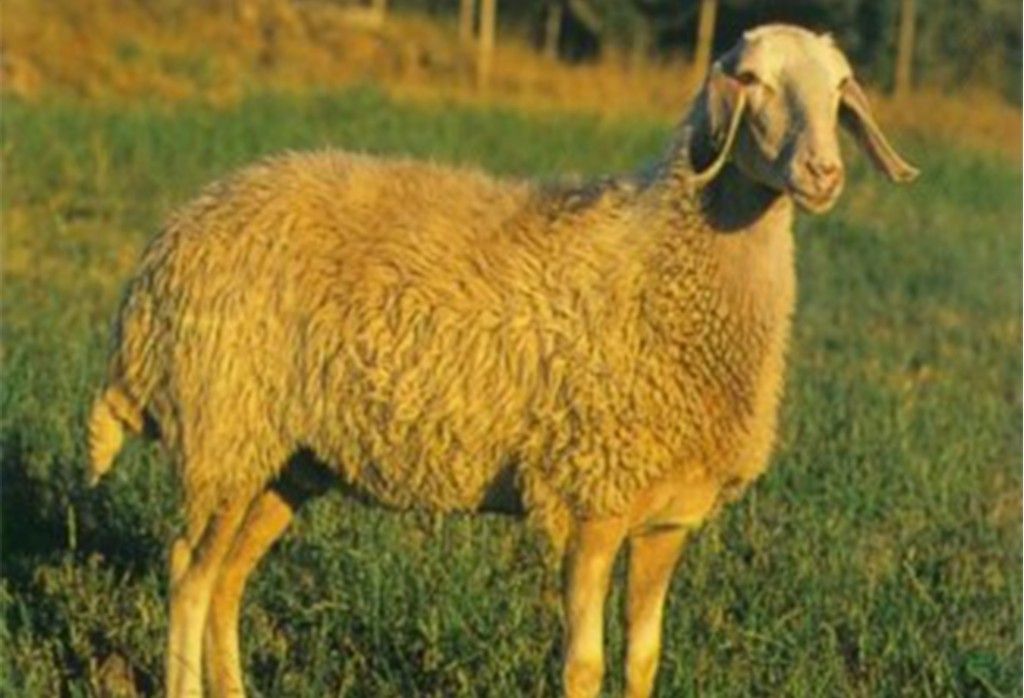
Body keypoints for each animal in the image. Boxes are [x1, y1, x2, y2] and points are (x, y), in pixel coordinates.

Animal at [86, 23, 918, 698]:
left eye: (840, 89)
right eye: (750, 80)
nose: (823, 174)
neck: (663, 260)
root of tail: (169, 245)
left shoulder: (667, 517)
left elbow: (644, 659)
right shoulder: (591, 494)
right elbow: (583, 665)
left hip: (284, 458)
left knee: (227, 577)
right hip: (224, 426)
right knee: (188, 572)